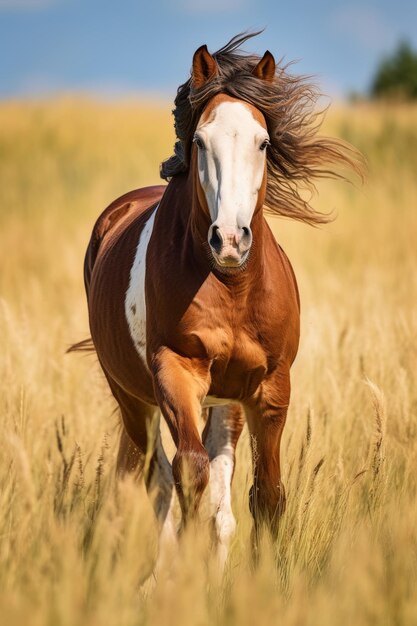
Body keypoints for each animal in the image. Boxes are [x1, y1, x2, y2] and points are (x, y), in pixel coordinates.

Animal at [72, 31, 360, 564]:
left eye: (263, 142)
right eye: (201, 141)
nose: (228, 239)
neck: (233, 290)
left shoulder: (269, 387)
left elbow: (266, 494)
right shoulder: (177, 372)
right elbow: (190, 473)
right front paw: (183, 572)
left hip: (224, 403)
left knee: (215, 500)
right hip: (134, 399)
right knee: (156, 478)